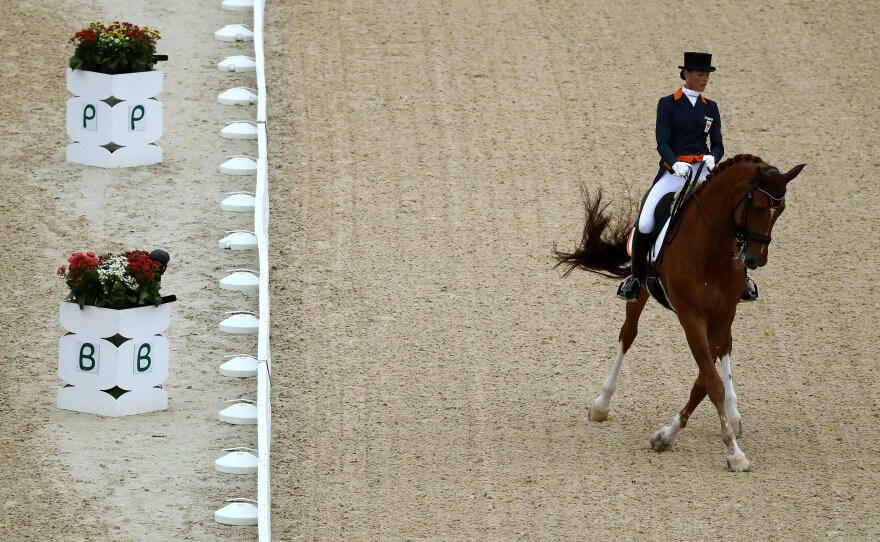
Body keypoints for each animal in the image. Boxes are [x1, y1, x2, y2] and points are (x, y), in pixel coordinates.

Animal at [556, 154, 804, 472]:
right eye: (759, 207)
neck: (710, 251)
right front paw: (733, 453)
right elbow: (711, 383)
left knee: (726, 347)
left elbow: (704, 382)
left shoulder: (723, 315)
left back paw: (734, 414)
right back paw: (602, 403)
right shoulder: (691, 318)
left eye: (780, 210)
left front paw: (669, 435)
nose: (754, 259)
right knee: (628, 335)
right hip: (641, 290)